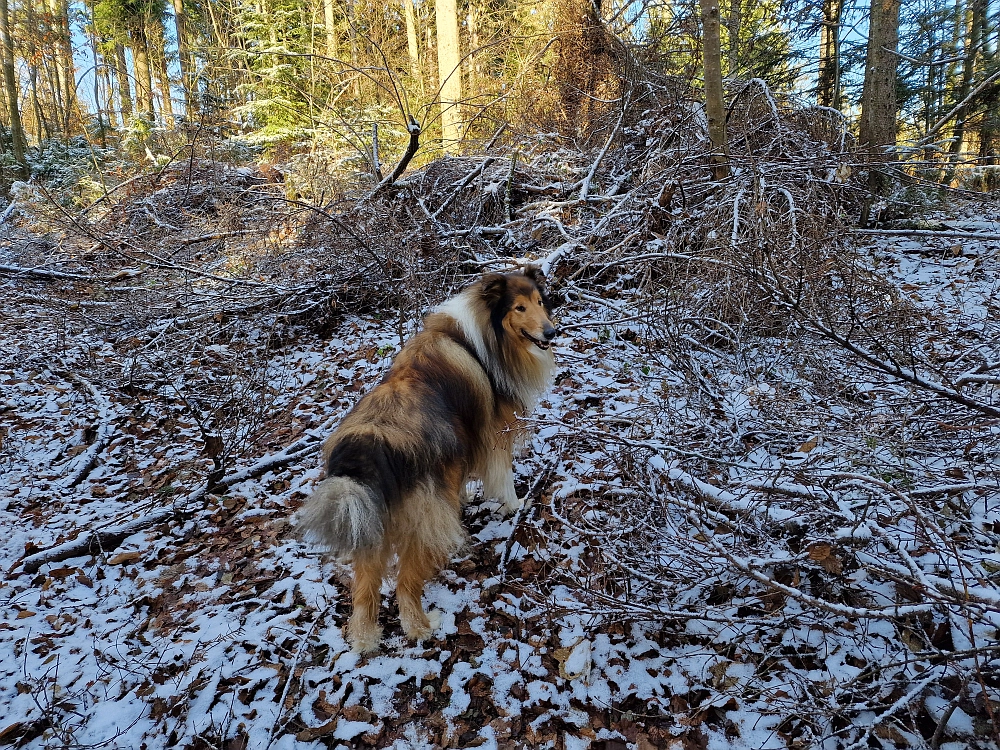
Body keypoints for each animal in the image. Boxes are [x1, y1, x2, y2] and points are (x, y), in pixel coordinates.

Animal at [300, 268, 560, 652]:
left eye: (541, 302)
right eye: (520, 307)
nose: (551, 332)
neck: (479, 339)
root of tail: (371, 449)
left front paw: (467, 496)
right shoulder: (494, 434)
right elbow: (503, 477)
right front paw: (515, 505)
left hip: (368, 524)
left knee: (365, 591)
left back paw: (364, 638)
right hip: (420, 524)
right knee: (405, 584)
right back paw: (422, 627)